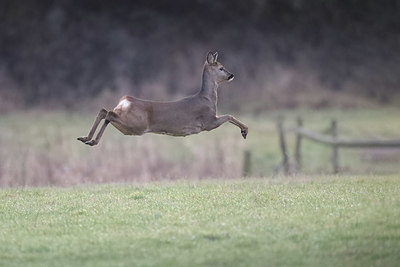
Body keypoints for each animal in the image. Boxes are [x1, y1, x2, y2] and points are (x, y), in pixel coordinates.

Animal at [77, 51, 248, 147]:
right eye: (221, 68)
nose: (231, 75)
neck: (207, 99)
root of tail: (125, 100)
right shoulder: (208, 122)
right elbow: (229, 116)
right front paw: (245, 131)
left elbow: (229, 116)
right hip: (135, 124)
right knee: (109, 114)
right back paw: (91, 141)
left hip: (127, 127)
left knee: (103, 111)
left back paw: (85, 138)